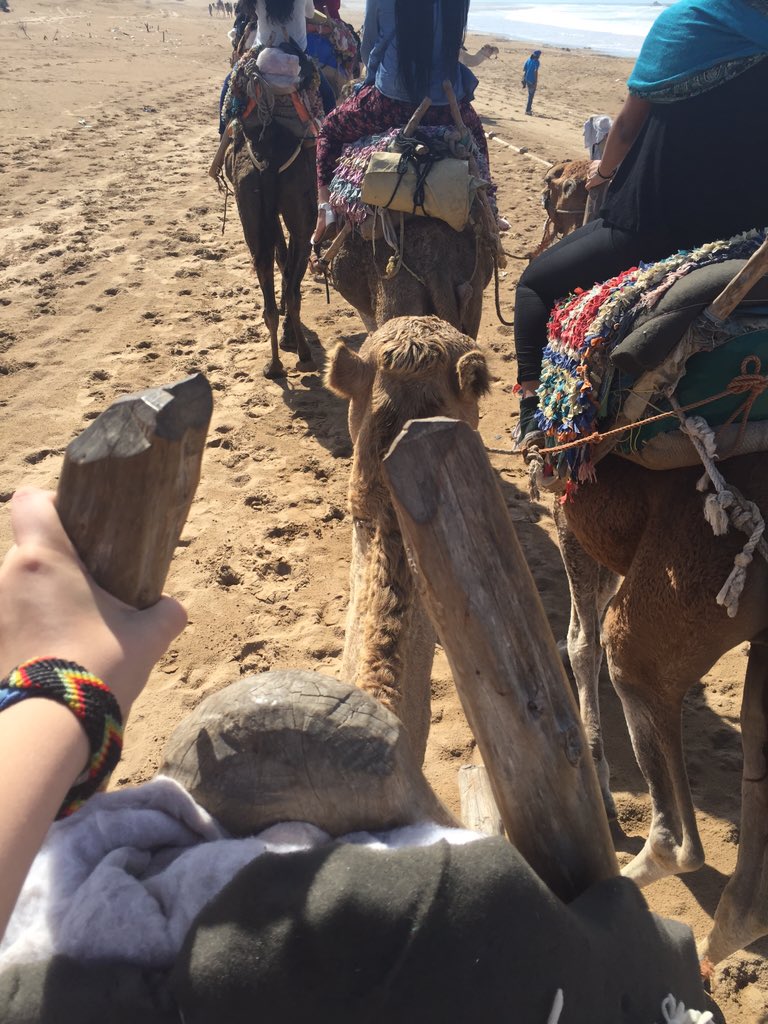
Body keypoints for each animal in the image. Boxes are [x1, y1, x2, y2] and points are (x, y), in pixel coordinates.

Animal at [230, 121, 318, 378]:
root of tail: (267, 155)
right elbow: (285, 262)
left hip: (249, 203)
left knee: (266, 266)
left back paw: (276, 364)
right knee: (290, 283)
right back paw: (301, 356)